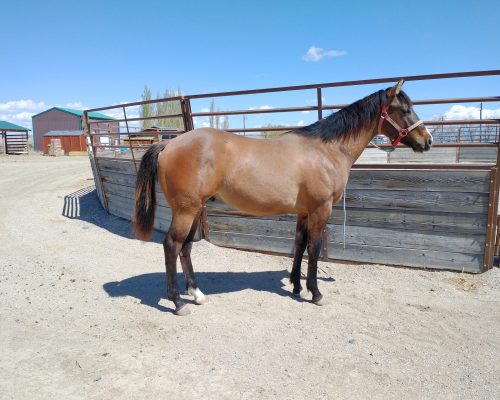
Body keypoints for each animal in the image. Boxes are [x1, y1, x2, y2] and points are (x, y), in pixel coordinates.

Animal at [134, 79, 434, 316]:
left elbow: (299, 245)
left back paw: (196, 294)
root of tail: (169, 144)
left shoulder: (303, 211)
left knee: (185, 247)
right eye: (405, 110)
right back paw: (177, 302)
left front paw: (296, 286)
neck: (326, 151)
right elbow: (314, 248)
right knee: (171, 246)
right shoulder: (321, 209)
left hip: (195, 209)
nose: (428, 140)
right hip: (185, 210)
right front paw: (315, 293)